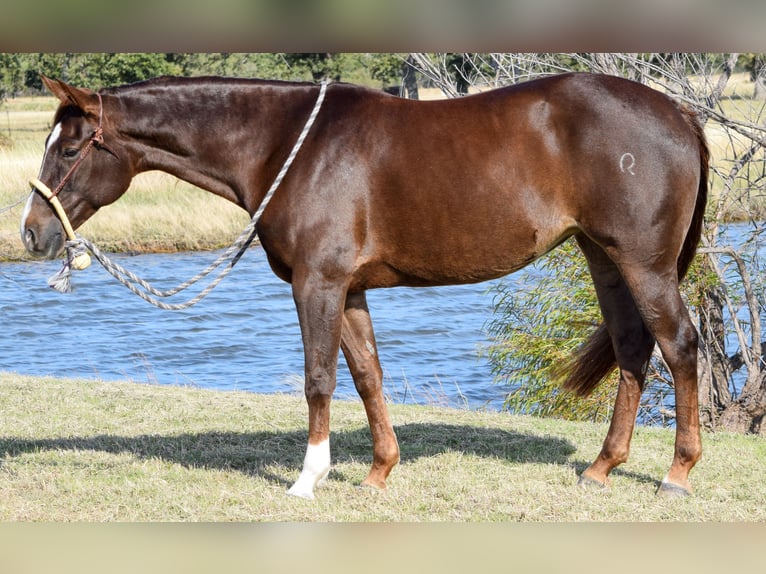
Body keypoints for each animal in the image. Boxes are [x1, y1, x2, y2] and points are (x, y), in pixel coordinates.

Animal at [22, 72, 708, 502]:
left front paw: (307, 479)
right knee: (632, 347)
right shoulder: (348, 290)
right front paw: (379, 473)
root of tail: (677, 111)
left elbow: (319, 379)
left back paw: (676, 474)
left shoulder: (317, 284)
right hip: (604, 257)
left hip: (644, 263)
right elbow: (367, 375)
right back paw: (601, 467)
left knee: (679, 345)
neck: (286, 147)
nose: (31, 234)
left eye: (72, 149)